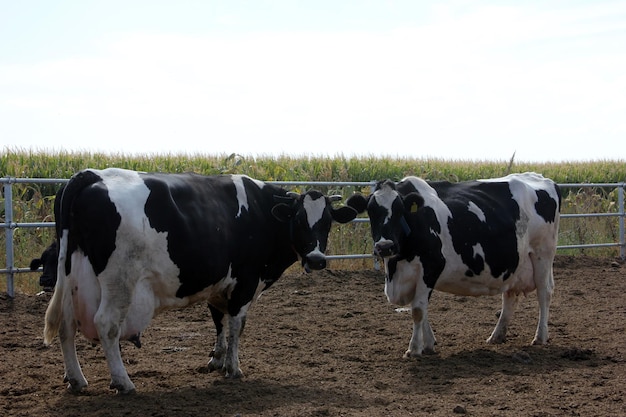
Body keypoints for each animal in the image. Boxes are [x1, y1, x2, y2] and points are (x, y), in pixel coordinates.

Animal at [44, 167, 356, 392]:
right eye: (299, 220)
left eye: (327, 222)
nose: (316, 259)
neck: (261, 212)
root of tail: (93, 174)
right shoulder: (245, 281)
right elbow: (236, 325)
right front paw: (233, 368)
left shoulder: (217, 282)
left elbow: (218, 321)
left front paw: (216, 359)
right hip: (119, 281)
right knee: (107, 325)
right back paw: (123, 382)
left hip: (72, 276)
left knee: (66, 326)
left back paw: (76, 379)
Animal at [346, 172, 560, 358]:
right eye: (371, 211)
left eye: (400, 210)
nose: (385, 246)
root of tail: (541, 178)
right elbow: (422, 309)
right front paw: (429, 344)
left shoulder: (430, 267)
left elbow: (418, 310)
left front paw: (414, 349)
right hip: (514, 264)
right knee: (509, 297)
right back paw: (496, 336)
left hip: (542, 254)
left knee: (544, 293)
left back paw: (540, 337)